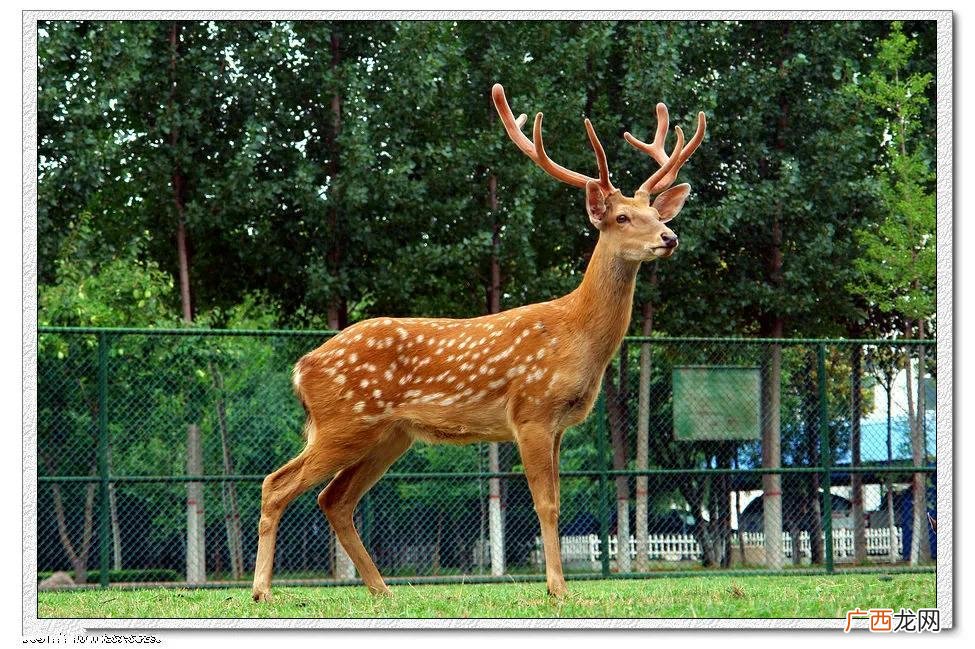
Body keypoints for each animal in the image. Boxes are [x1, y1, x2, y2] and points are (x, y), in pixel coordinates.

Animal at [251, 83, 706, 602]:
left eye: (655, 213)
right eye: (624, 217)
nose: (669, 236)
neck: (577, 336)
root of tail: (302, 367)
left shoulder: (558, 424)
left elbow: (555, 501)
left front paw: (560, 586)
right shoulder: (531, 411)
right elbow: (546, 504)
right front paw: (557, 589)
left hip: (389, 434)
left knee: (334, 499)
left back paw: (382, 589)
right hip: (343, 421)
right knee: (278, 483)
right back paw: (263, 591)